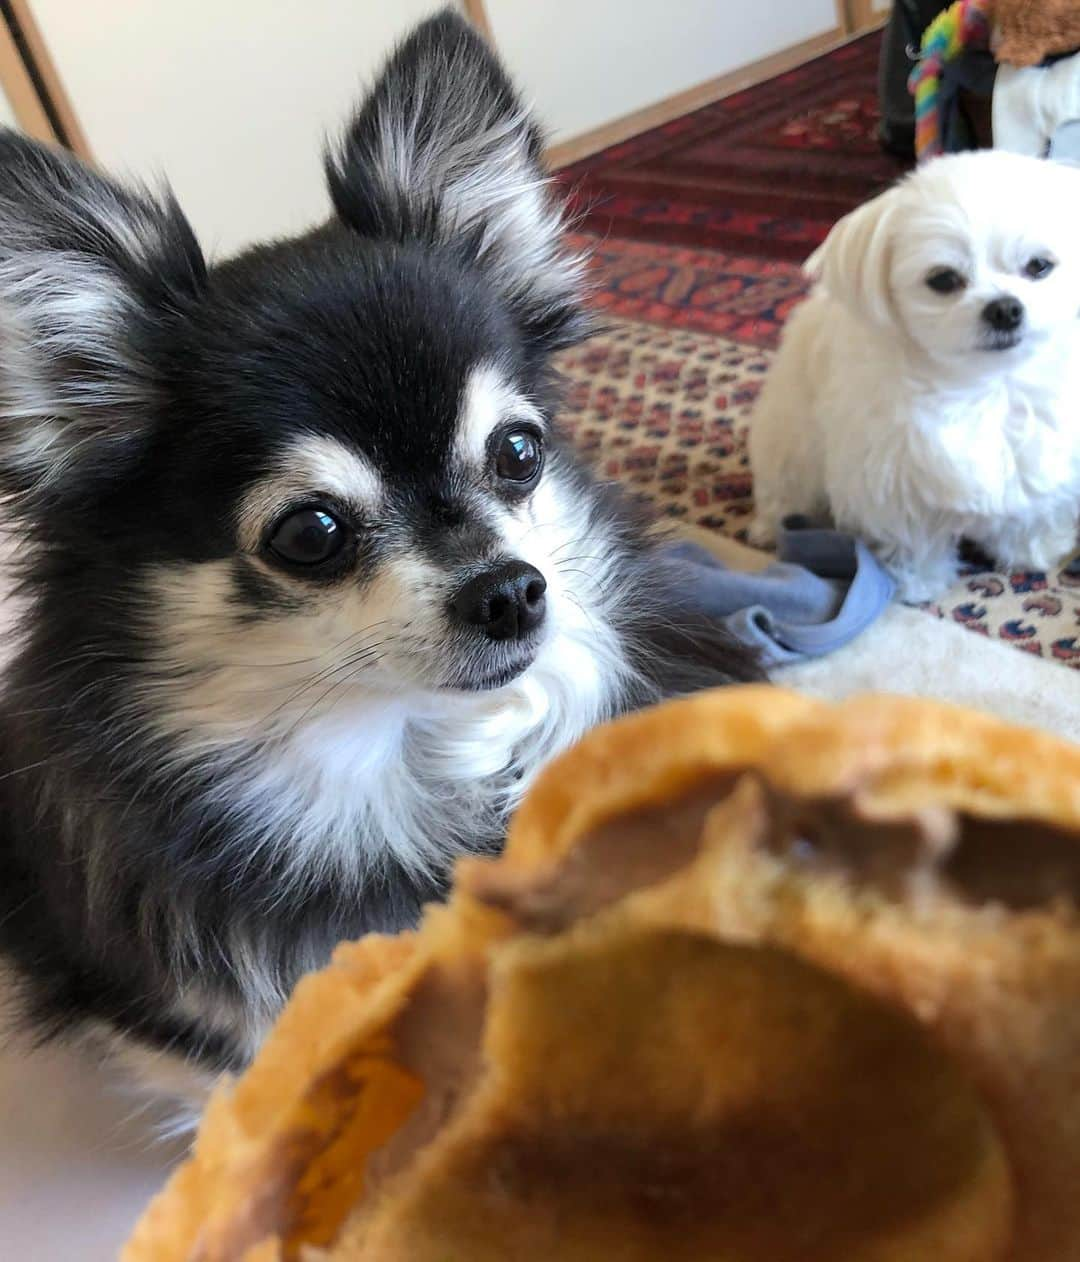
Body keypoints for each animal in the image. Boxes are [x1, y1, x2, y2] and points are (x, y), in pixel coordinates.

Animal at [751, 147, 1080, 600]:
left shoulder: (1042, 459)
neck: (983, 388)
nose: (1005, 308)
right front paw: (921, 584)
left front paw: (1037, 553)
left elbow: (1035, 513)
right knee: (783, 490)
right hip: (790, 445)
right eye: (943, 279)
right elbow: (914, 543)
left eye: (1039, 266)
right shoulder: (893, 482)